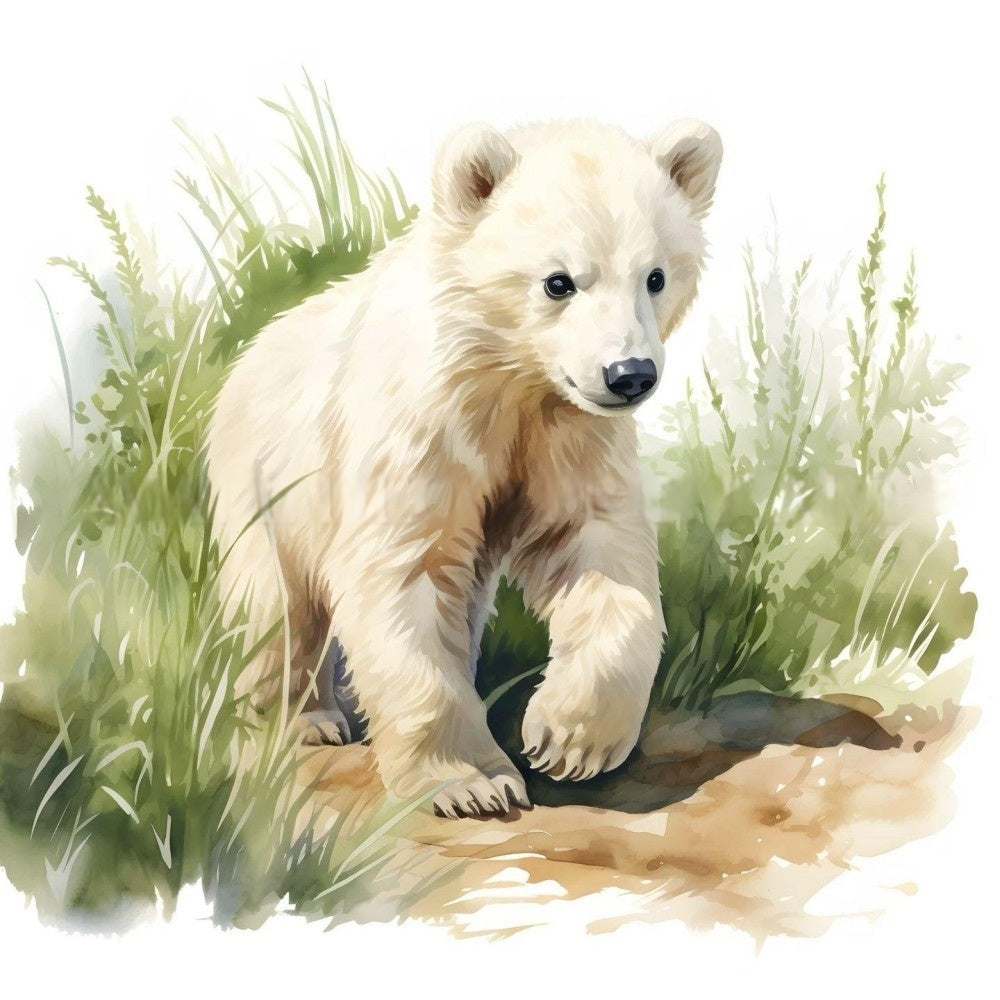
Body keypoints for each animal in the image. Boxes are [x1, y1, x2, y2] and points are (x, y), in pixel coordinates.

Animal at [205, 117, 722, 818]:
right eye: (558, 281)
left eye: (656, 276)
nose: (629, 374)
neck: (505, 373)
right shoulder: (421, 430)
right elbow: (404, 573)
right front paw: (472, 784)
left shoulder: (566, 433)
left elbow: (596, 550)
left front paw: (567, 739)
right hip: (269, 475)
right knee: (277, 601)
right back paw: (303, 720)